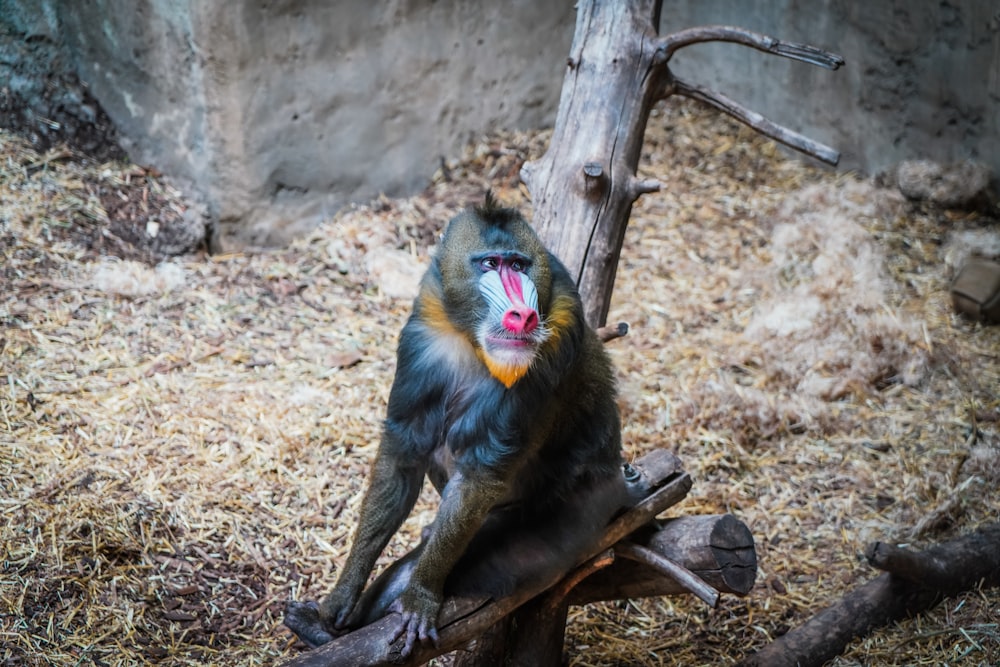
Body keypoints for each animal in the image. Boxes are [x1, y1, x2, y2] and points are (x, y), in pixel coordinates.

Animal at [286, 193, 636, 656]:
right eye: (489, 264)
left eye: (519, 265)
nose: (522, 315)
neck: (472, 341)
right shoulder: (421, 338)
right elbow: (403, 457)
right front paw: (339, 599)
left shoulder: (557, 334)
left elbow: (477, 474)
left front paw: (420, 597)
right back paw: (317, 629)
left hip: (573, 518)